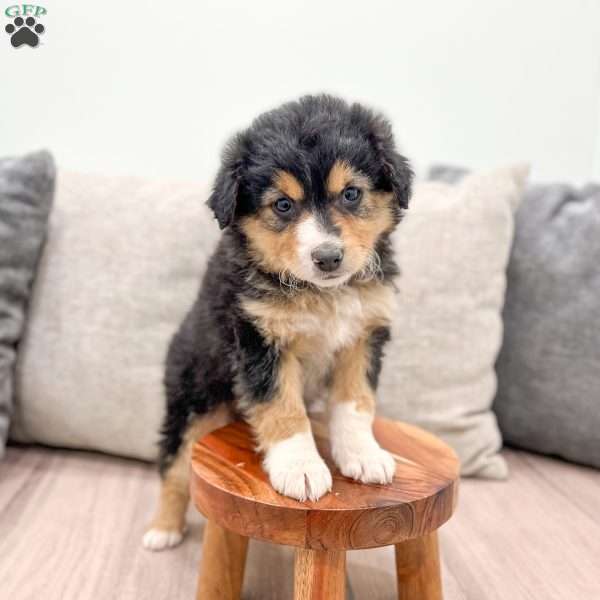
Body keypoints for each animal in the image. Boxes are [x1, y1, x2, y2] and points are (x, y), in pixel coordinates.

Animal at [143, 92, 412, 548]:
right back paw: (163, 529)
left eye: (351, 194)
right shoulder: (258, 340)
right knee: (174, 466)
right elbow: (283, 409)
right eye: (283, 205)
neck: (322, 295)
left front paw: (362, 455)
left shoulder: (363, 335)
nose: (328, 257)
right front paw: (300, 469)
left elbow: (355, 403)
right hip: (193, 398)